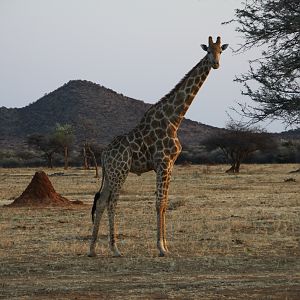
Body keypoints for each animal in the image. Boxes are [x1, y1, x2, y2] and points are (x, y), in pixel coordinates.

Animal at [88, 36, 229, 256]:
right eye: (208, 51)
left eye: (220, 51)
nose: (216, 64)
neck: (174, 119)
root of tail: (103, 154)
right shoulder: (163, 162)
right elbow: (159, 203)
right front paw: (161, 247)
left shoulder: (169, 165)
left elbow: (164, 203)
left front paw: (166, 246)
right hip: (120, 171)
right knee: (112, 202)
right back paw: (115, 248)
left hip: (110, 173)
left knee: (101, 201)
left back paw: (93, 249)